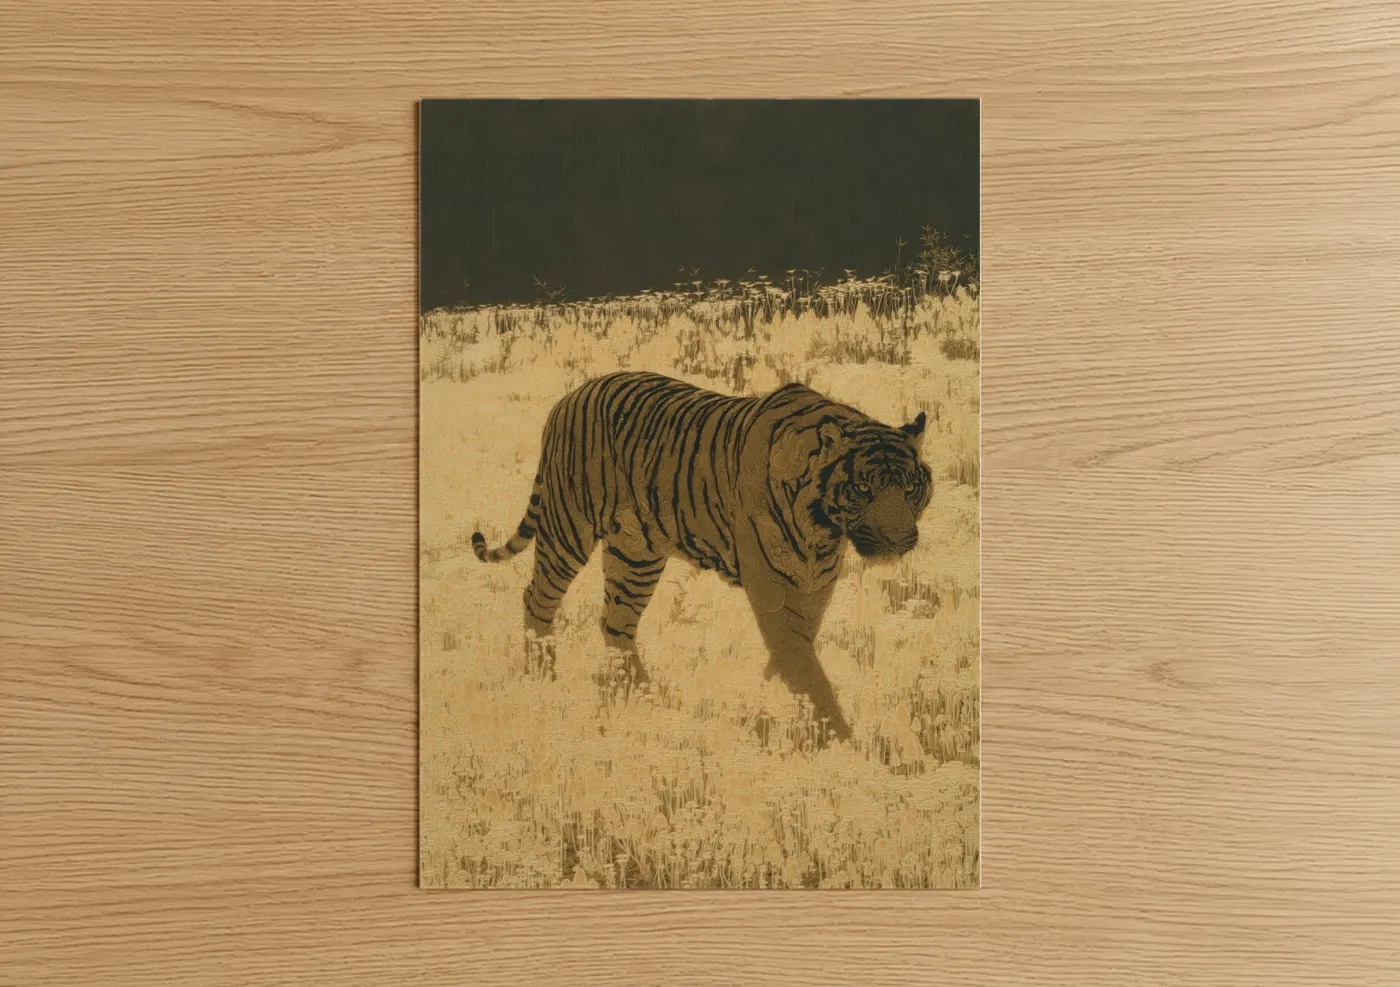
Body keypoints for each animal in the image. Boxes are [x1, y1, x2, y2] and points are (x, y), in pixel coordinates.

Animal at [471, 370, 933, 741]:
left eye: (910, 487)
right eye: (863, 489)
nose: (899, 538)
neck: (825, 529)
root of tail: (570, 395)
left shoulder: (816, 585)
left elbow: (794, 655)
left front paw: (772, 706)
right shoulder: (772, 586)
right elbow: (803, 663)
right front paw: (842, 741)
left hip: (637, 555)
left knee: (616, 623)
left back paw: (643, 698)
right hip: (568, 527)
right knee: (537, 599)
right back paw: (542, 681)